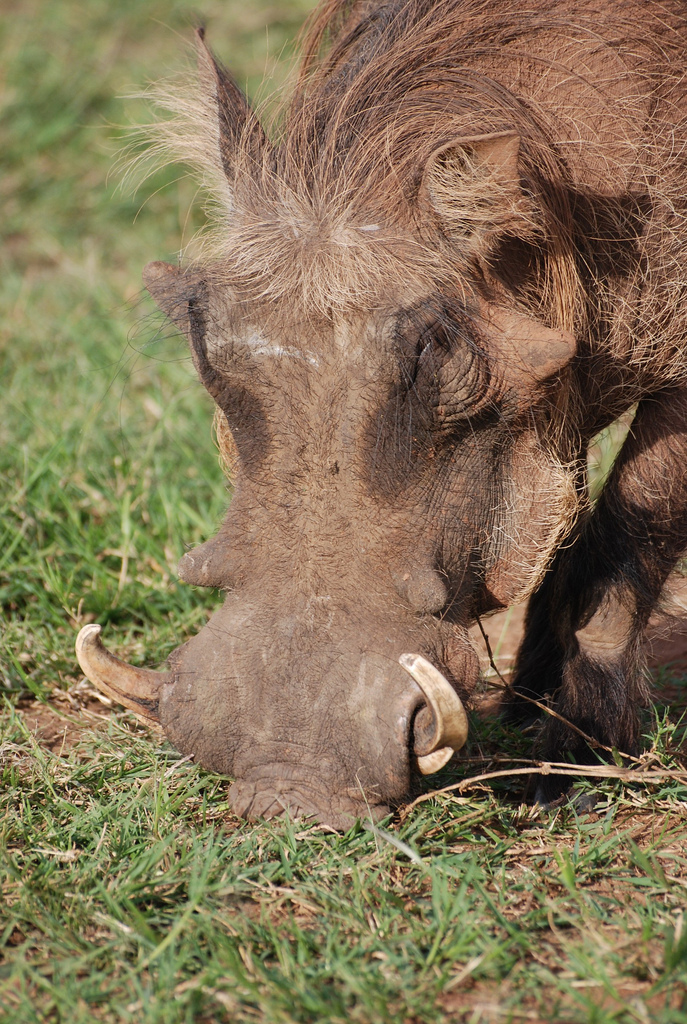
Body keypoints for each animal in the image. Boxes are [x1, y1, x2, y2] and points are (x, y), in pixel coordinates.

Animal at [76, 0, 687, 827]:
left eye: (433, 351)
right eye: (205, 341)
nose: (289, 788)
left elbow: (623, 539)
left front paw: (570, 766)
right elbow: (559, 529)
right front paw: (526, 705)